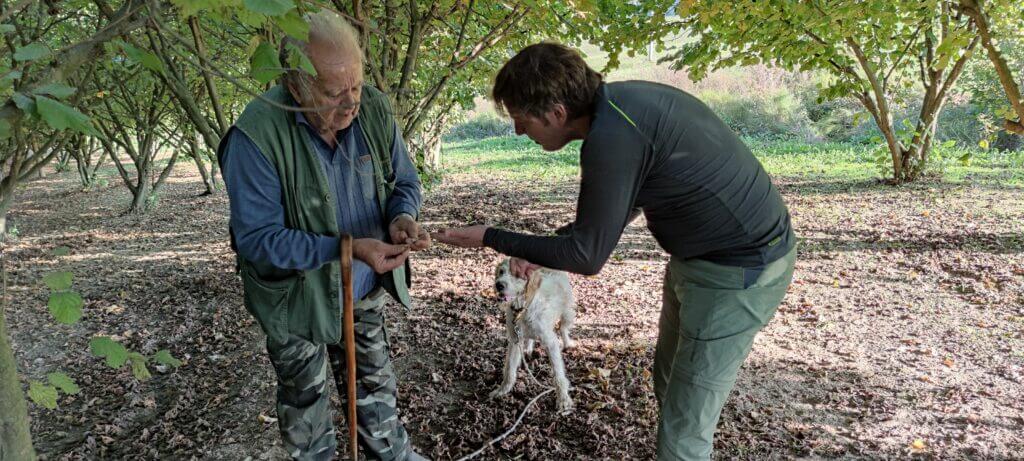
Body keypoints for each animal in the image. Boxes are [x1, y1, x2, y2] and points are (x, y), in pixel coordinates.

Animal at [487, 257, 577, 411]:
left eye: (517, 275)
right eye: (501, 271)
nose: (498, 285)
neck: (522, 309)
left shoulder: (551, 343)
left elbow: (558, 374)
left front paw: (563, 399)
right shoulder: (515, 340)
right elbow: (509, 369)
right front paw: (502, 390)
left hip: (567, 313)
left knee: (563, 329)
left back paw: (567, 343)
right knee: (530, 338)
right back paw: (528, 348)